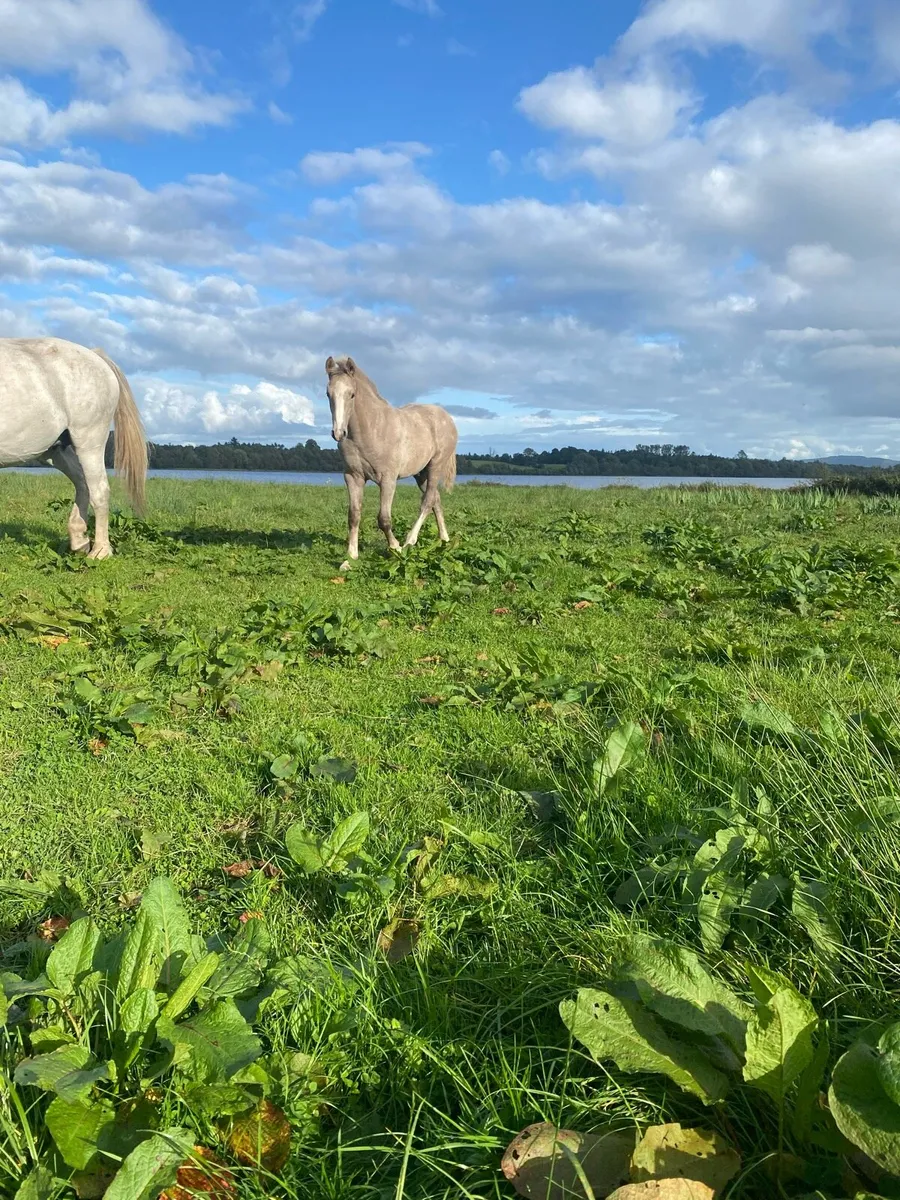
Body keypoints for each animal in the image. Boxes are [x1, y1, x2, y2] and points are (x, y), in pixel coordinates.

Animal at [0, 337, 147, 558]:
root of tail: (95, 356)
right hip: (57, 450)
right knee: (82, 483)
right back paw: (80, 541)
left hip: (89, 441)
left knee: (99, 490)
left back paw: (100, 551)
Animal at [325, 355, 458, 567]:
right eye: (328, 394)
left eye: (352, 394)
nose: (339, 433)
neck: (371, 429)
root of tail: (446, 417)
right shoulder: (353, 477)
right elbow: (353, 515)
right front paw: (351, 557)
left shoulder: (388, 480)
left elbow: (384, 518)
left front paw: (395, 548)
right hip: (420, 473)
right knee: (436, 500)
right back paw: (444, 540)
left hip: (435, 466)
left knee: (427, 501)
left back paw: (409, 541)